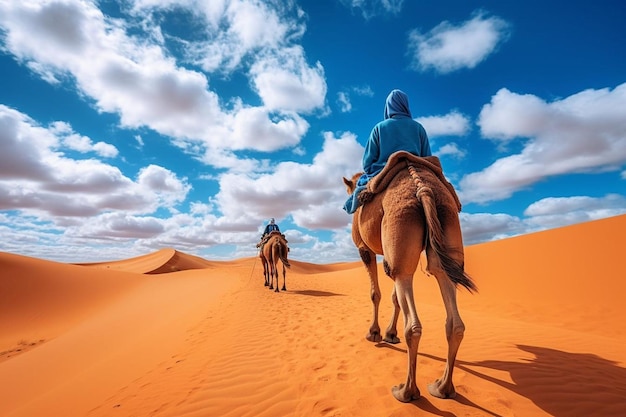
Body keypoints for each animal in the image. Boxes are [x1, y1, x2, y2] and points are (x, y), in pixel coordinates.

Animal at [342, 151, 472, 402]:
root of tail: (423, 189)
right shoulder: (390, 253)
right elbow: (394, 297)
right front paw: (390, 334)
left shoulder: (364, 248)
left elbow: (375, 293)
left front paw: (374, 333)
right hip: (447, 225)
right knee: (453, 319)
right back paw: (442, 387)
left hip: (401, 222)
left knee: (413, 325)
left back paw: (406, 391)